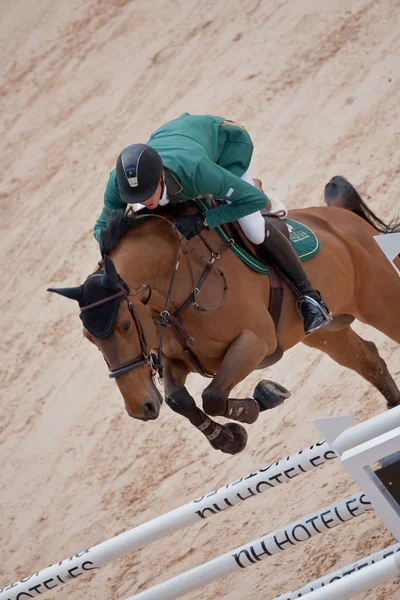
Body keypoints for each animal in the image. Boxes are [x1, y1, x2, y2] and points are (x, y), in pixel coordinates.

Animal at [49, 177, 400, 454]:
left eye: (124, 325)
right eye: (89, 338)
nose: (140, 408)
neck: (179, 283)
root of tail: (339, 215)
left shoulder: (254, 343)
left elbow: (213, 396)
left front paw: (265, 397)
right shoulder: (179, 361)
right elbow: (180, 400)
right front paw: (228, 439)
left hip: (380, 300)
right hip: (328, 334)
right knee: (369, 359)